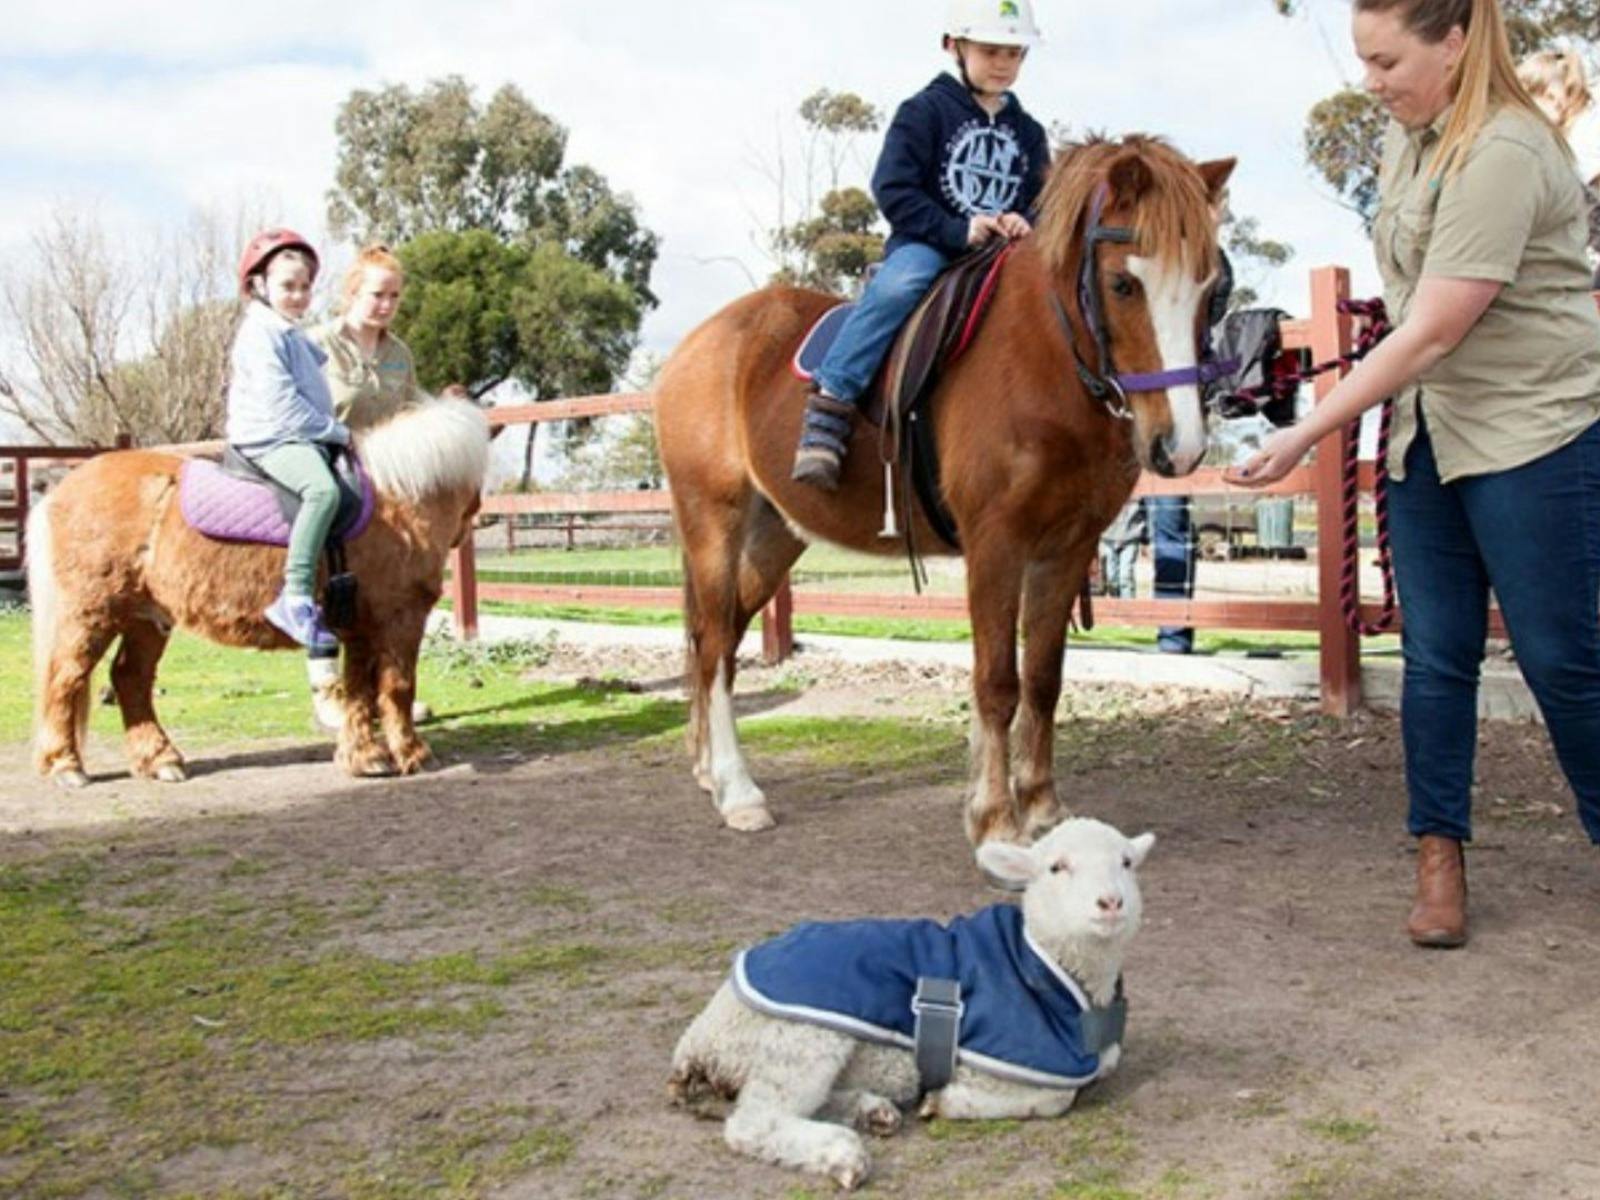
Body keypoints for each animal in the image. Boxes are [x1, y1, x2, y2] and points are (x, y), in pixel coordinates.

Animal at [28, 396, 490, 787]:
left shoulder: (359, 626)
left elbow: (359, 689)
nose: (479, 522)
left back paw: (160, 760)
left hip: (147, 616)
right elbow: (397, 686)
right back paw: (66, 765)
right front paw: (414, 754)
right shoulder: (400, 620)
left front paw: (365, 757)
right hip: (91, 613)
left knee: (130, 679)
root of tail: (58, 492)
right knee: (66, 678)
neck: (400, 497)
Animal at [654, 135, 1234, 844]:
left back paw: (709, 770)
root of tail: (697, 345)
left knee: (724, 638)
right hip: (714, 520)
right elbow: (997, 682)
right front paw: (995, 820)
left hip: (773, 535)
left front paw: (1042, 807)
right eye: (1124, 283)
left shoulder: (1065, 550)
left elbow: (1043, 679)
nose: (1179, 446)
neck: (1044, 362)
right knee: (712, 643)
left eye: (1210, 289)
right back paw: (738, 792)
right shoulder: (996, 545)